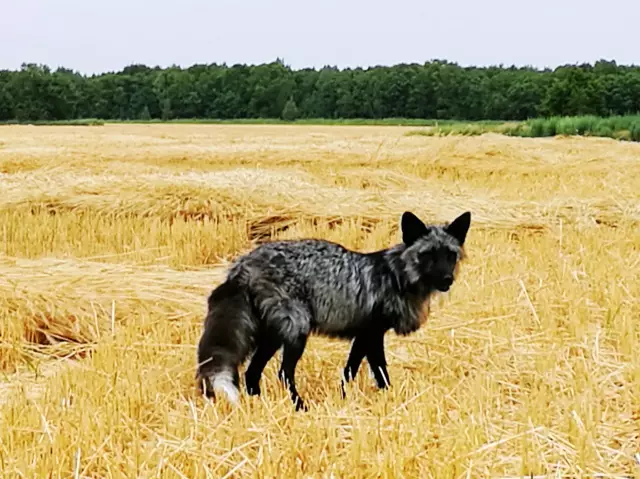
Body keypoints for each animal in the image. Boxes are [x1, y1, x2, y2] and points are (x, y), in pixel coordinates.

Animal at [198, 212, 472, 410]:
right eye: (429, 255)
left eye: (450, 255)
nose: (447, 280)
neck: (396, 276)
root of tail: (243, 264)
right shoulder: (372, 334)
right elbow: (375, 373)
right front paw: (381, 399)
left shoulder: (364, 336)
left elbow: (354, 372)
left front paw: (349, 398)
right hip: (296, 331)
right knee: (283, 374)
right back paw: (299, 407)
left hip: (272, 336)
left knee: (252, 374)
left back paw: (259, 406)